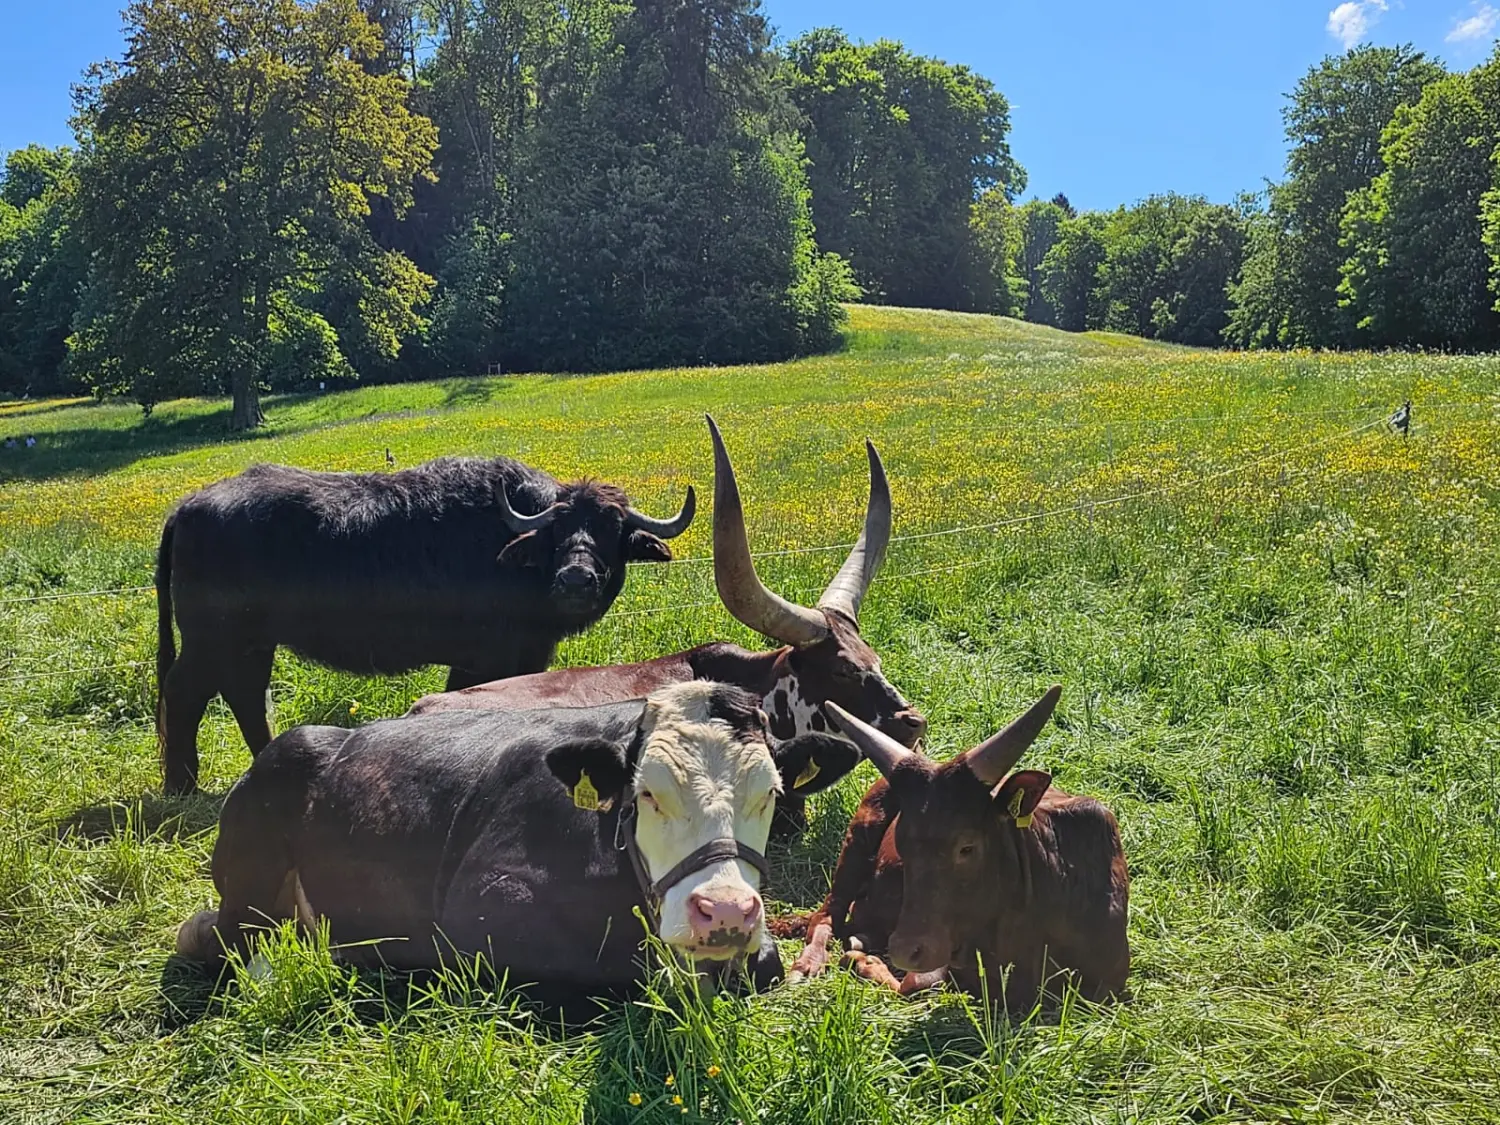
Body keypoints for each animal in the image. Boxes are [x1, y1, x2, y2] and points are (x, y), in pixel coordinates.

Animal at [155, 456, 693, 792]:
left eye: (611, 529)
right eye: (557, 530)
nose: (576, 579)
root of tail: (187, 508)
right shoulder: (491, 659)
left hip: (253, 643)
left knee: (244, 695)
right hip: (211, 640)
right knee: (185, 694)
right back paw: (182, 784)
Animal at [174, 684, 858, 990]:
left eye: (770, 792)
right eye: (646, 793)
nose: (726, 912)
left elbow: (764, 963)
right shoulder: (479, 904)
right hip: (250, 879)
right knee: (219, 936)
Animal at [780, 687, 1128, 1014]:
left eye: (967, 846)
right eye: (902, 845)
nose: (905, 951)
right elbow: (912, 985)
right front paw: (864, 960)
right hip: (857, 838)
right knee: (827, 915)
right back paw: (809, 965)